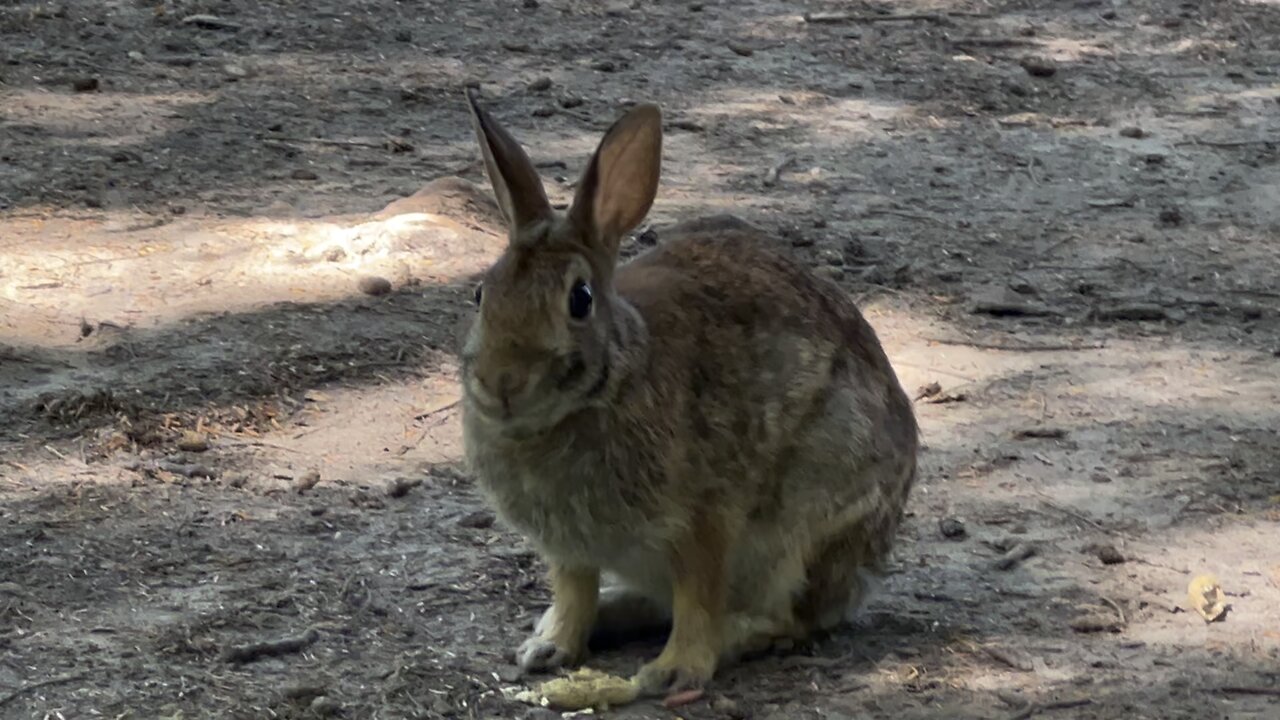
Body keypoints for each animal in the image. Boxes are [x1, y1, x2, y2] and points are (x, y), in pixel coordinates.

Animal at [459, 90, 919, 698]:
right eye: (481, 294)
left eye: (580, 299)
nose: (501, 383)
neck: (611, 382)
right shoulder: (571, 549)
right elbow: (575, 592)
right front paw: (551, 648)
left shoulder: (705, 522)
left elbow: (697, 595)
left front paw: (675, 669)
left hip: (813, 518)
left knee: (792, 615)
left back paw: (731, 637)